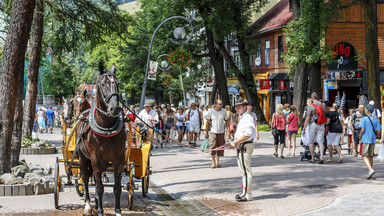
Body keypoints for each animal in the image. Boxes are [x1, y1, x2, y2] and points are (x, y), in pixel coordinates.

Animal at [76, 62, 126, 216]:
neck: (107, 127)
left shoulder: (119, 160)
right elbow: (99, 187)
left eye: (117, 83)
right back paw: (88, 206)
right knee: (86, 179)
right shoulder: (95, 160)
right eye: (103, 84)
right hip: (83, 158)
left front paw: (118, 211)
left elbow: (117, 188)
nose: (115, 108)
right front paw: (99, 211)